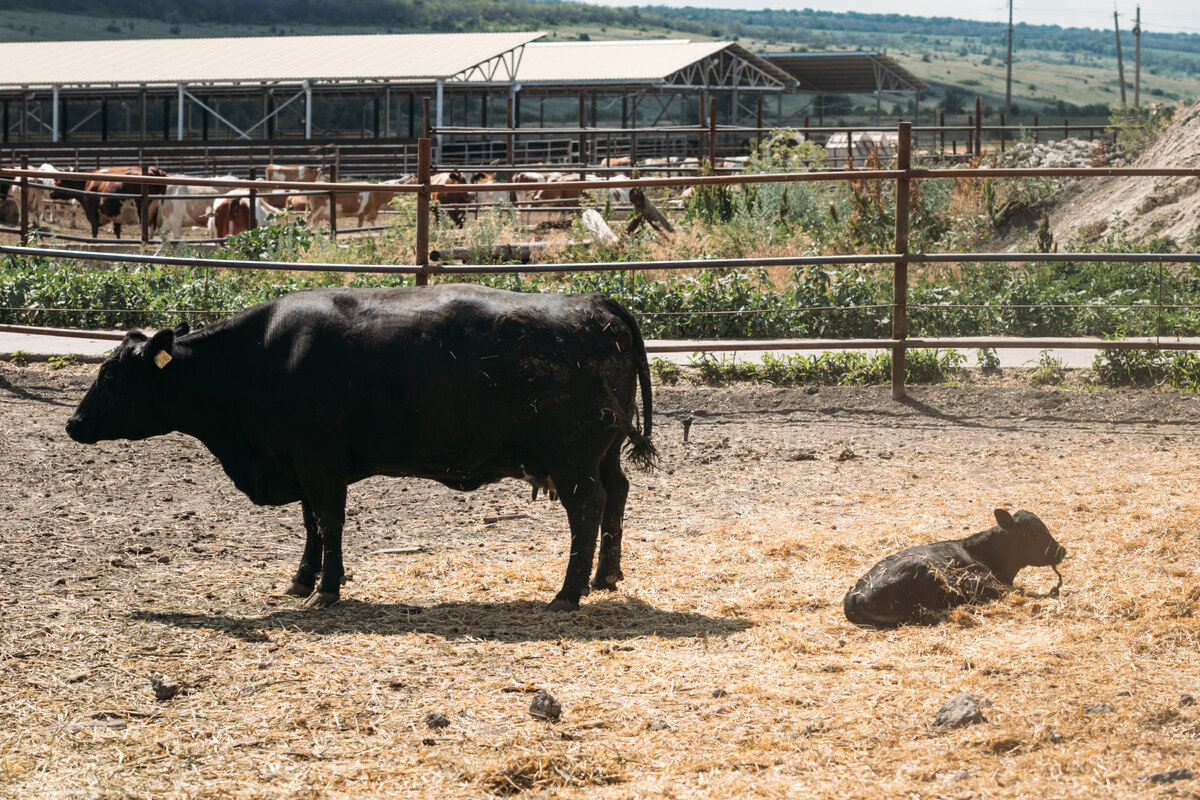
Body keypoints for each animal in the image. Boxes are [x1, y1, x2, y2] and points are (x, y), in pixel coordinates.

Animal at [68, 284, 657, 609]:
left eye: (113, 376)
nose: (73, 424)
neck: (260, 357)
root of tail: (594, 302)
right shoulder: (301, 462)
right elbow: (311, 522)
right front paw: (301, 579)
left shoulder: (317, 458)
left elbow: (329, 520)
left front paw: (326, 588)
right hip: (602, 453)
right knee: (617, 495)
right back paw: (605, 576)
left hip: (572, 457)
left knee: (588, 507)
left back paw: (568, 593)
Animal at [840, 510, 1065, 628]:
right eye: (1034, 532)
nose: (1062, 551)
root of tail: (853, 595)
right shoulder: (976, 582)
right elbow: (1012, 590)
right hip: (923, 571)